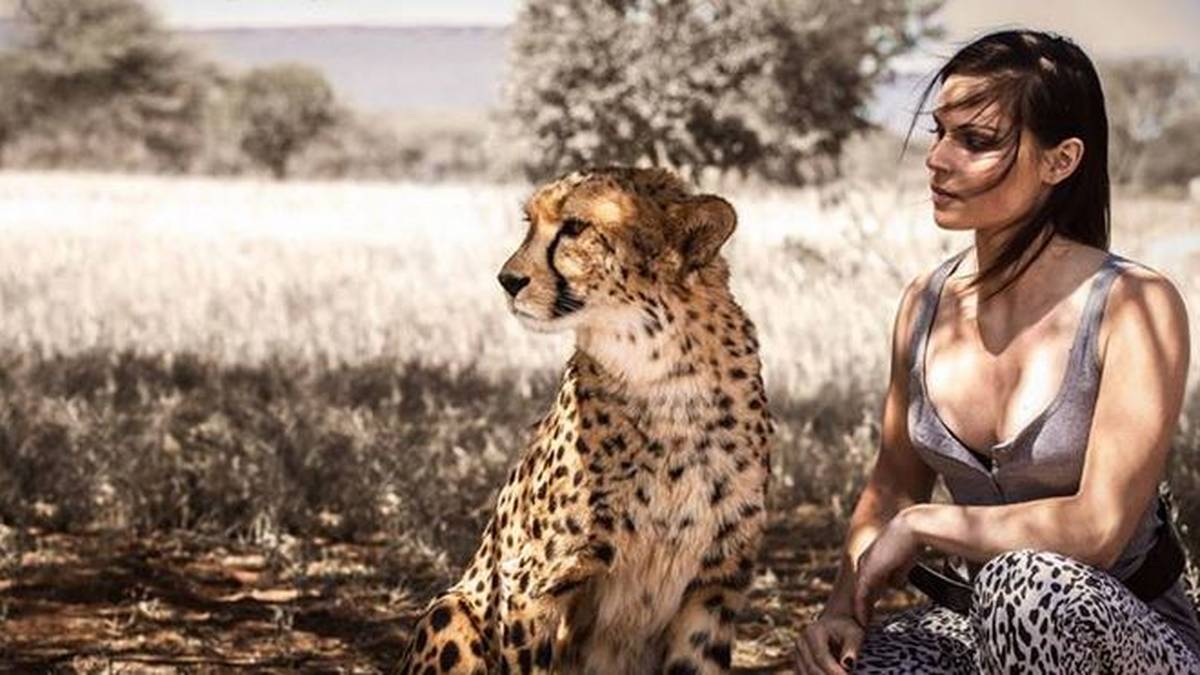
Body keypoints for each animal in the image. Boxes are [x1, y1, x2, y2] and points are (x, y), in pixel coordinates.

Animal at [398, 166, 773, 675]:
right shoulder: (530, 583)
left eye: (575, 227)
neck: (666, 378)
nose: (507, 280)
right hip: (450, 609)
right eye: (530, 222)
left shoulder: (712, 586)